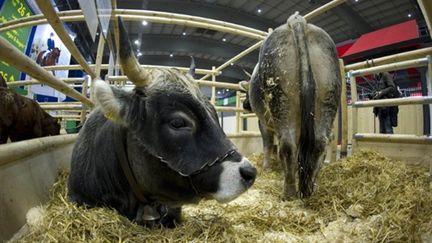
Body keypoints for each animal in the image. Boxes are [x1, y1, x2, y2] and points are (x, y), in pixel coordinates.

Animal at [245, 12, 340, 199]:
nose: (246, 105)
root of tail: (297, 21)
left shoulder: (264, 123)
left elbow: (268, 144)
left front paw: (266, 166)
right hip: (328, 98)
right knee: (319, 144)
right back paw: (310, 189)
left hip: (280, 99)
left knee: (287, 145)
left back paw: (289, 192)